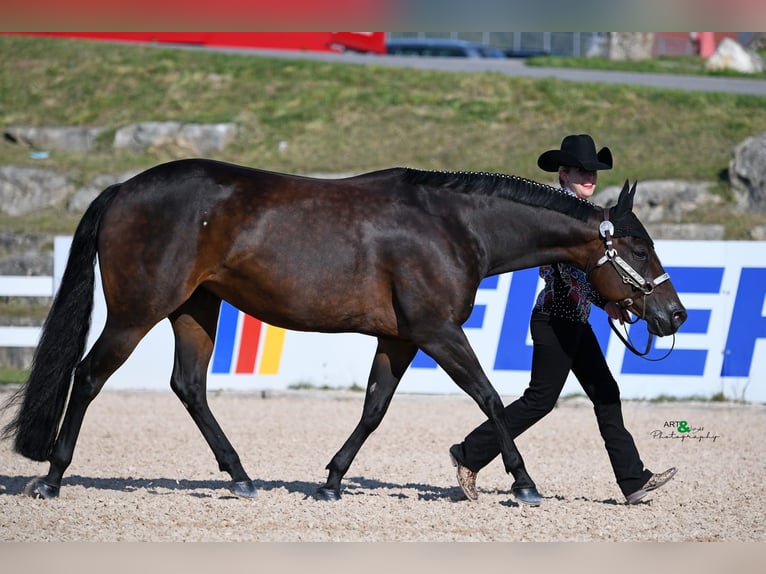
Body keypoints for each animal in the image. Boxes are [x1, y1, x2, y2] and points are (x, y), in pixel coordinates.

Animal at [0, 159, 688, 504]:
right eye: (639, 248)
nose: (675, 315)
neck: (453, 225)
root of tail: (121, 189)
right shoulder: (437, 330)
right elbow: (490, 396)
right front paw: (523, 483)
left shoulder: (402, 338)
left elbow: (374, 408)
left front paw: (331, 482)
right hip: (138, 311)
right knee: (89, 375)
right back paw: (53, 478)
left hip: (196, 308)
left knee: (188, 386)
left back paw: (241, 477)